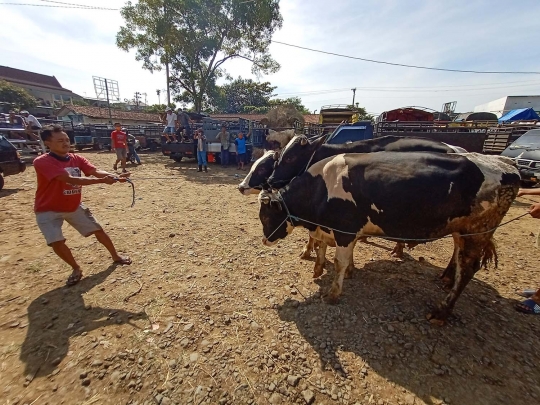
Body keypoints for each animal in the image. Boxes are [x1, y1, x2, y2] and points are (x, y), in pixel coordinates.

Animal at [260, 151, 520, 322]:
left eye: (265, 217)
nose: (264, 240)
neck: (322, 187)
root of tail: (505, 163)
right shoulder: (332, 229)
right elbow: (324, 249)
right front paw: (324, 269)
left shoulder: (345, 230)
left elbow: (339, 261)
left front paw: (333, 293)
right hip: (464, 230)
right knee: (458, 256)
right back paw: (446, 279)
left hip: (477, 230)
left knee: (468, 268)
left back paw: (441, 310)